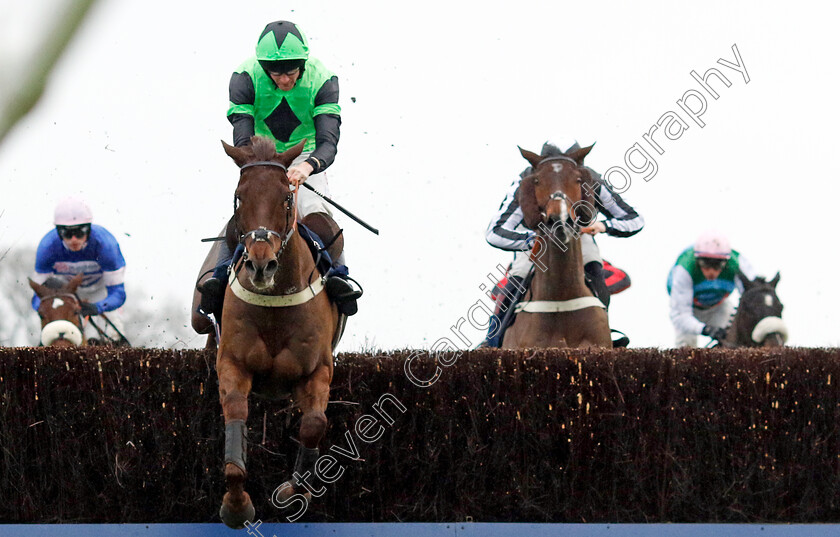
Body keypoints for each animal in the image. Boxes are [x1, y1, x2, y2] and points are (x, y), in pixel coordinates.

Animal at [217, 135, 342, 528]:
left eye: (287, 196)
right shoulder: (232, 363)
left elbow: (315, 424)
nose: (260, 264)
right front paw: (237, 504)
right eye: (239, 196)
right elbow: (235, 416)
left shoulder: (317, 369)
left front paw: (293, 490)